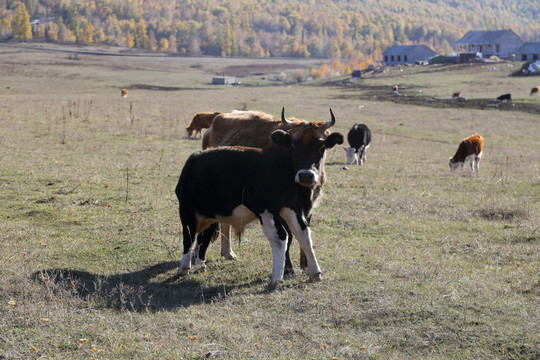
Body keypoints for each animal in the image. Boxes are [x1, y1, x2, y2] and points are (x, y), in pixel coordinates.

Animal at [177, 107, 346, 286]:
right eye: (293, 146)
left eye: (321, 147)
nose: (306, 175)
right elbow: (203, 237)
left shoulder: (187, 209)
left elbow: (189, 236)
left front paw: (185, 267)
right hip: (287, 209)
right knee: (303, 233)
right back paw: (314, 272)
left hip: (267, 211)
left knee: (280, 237)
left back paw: (276, 278)